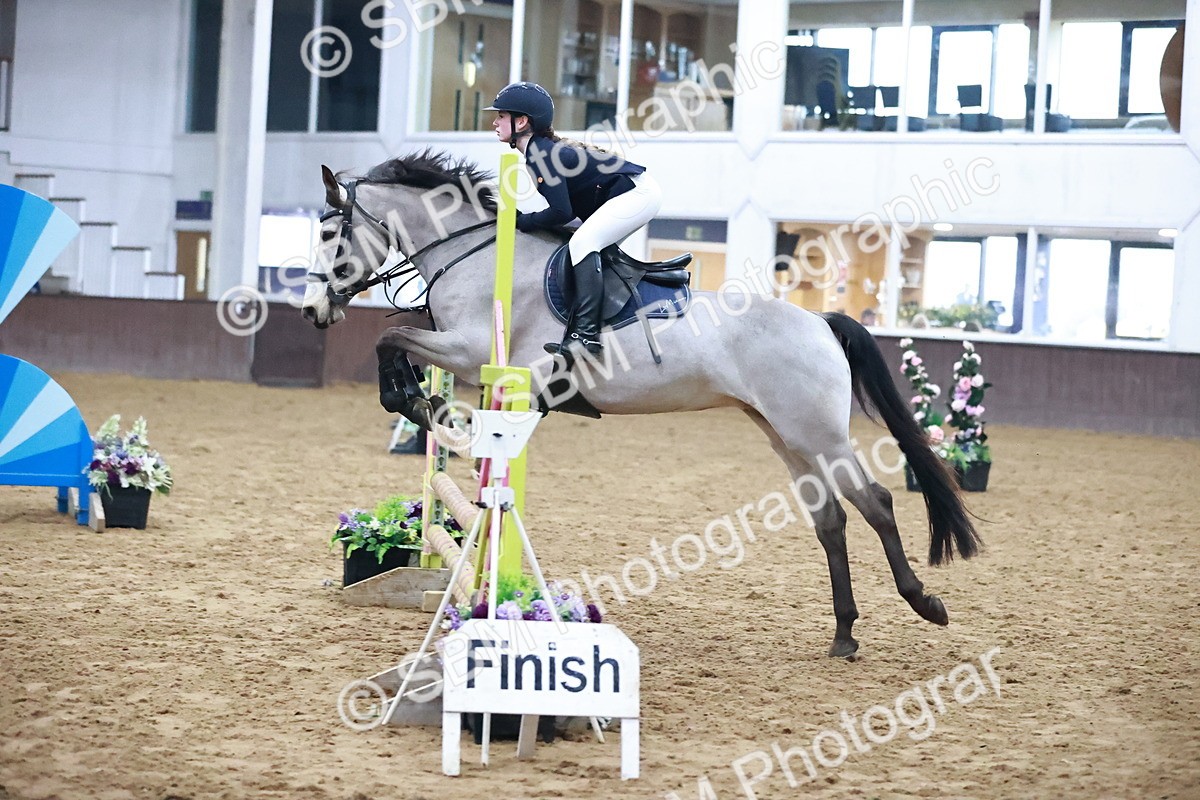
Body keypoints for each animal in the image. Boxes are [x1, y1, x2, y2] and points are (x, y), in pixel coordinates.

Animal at [302, 150, 981, 658]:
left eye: (331, 235)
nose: (312, 311)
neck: (474, 253)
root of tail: (819, 321)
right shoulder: (458, 346)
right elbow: (396, 335)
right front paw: (421, 405)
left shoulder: (472, 353)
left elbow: (392, 336)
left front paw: (420, 406)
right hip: (783, 435)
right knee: (831, 520)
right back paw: (843, 635)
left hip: (818, 434)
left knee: (877, 503)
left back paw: (925, 603)